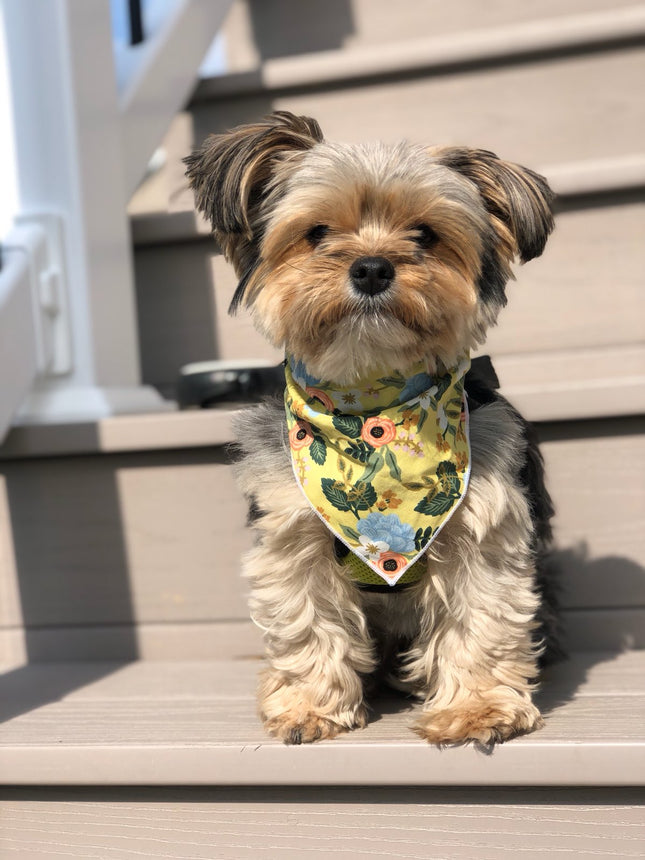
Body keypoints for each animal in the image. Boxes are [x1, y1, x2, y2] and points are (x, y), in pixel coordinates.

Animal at [186, 112, 560, 744]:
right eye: (316, 232)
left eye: (425, 235)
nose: (372, 267)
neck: (369, 414)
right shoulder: (292, 531)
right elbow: (307, 621)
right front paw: (309, 706)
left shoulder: (484, 529)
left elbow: (480, 618)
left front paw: (476, 709)